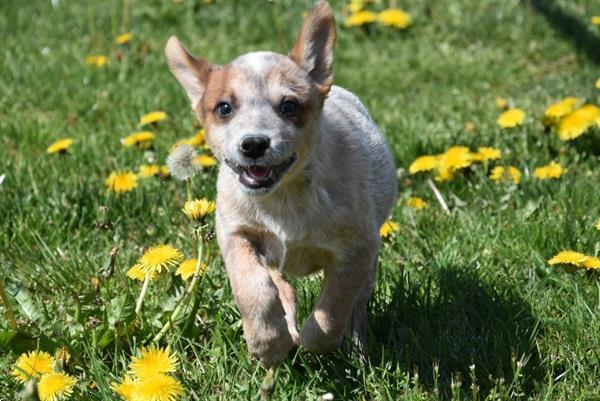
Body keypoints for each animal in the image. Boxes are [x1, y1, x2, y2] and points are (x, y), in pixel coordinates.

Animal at [166, 0, 396, 366]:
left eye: (289, 106)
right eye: (224, 107)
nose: (254, 143)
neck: (283, 197)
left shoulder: (356, 250)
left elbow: (331, 312)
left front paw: (311, 343)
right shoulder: (236, 234)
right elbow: (253, 289)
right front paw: (269, 344)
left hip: (369, 259)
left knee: (357, 305)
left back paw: (357, 351)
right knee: (279, 284)